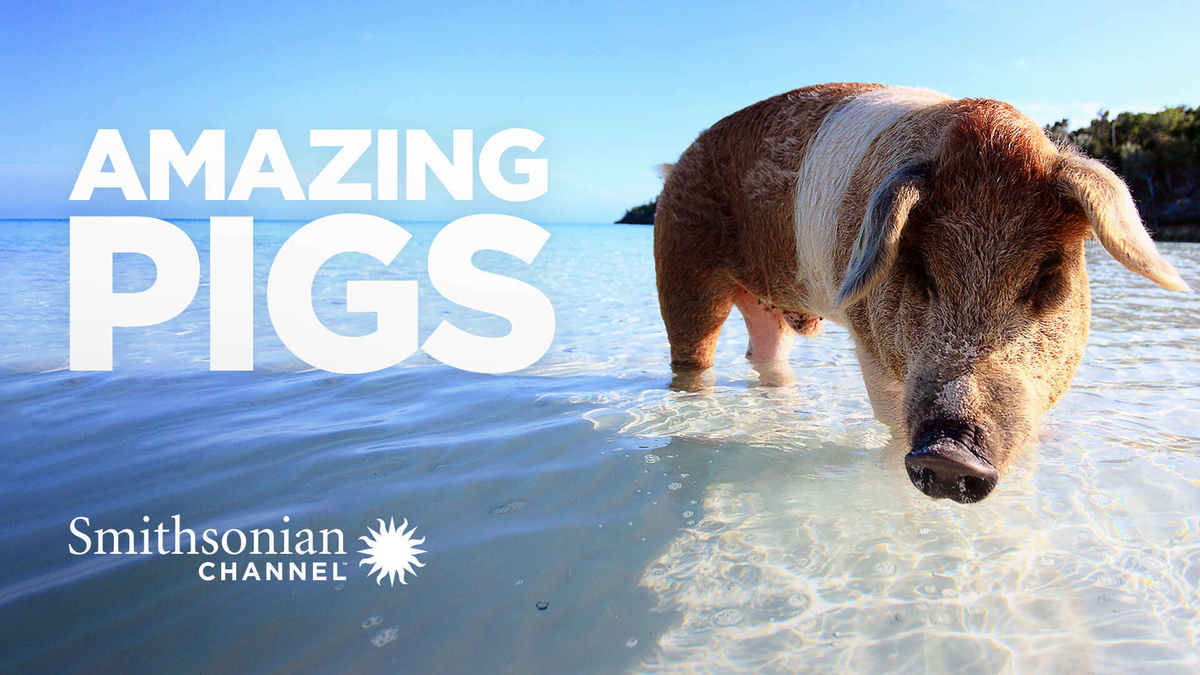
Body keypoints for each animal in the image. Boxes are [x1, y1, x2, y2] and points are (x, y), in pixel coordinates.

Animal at [653, 83, 1190, 503]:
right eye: (920, 270)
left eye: (1046, 278)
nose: (951, 454)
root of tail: (674, 166)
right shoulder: (870, 347)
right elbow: (891, 423)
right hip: (680, 269)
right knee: (692, 356)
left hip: (766, 308)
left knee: (764, 355)